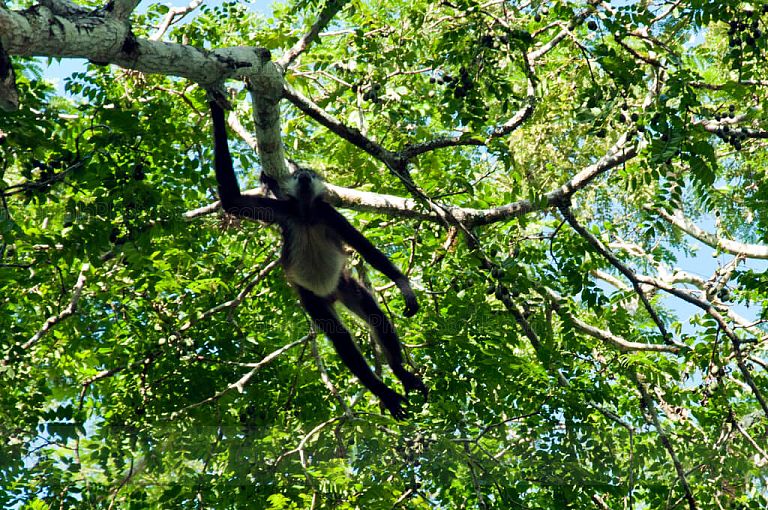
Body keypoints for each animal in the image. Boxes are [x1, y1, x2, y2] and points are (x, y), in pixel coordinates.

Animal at [208, 98, 427, 419]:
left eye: (309, 174)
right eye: (300, 175)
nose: (304, 175)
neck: (306, 214)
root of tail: (330, 294)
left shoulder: (327, 214)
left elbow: (366, 249)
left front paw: (404, 286)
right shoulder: (286, 212)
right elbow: (232, 202)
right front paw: (215, 107)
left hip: (344, 284)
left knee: (374, 315)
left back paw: (400, 374)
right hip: (312, 299)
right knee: (341, 338)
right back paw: (385, 392)